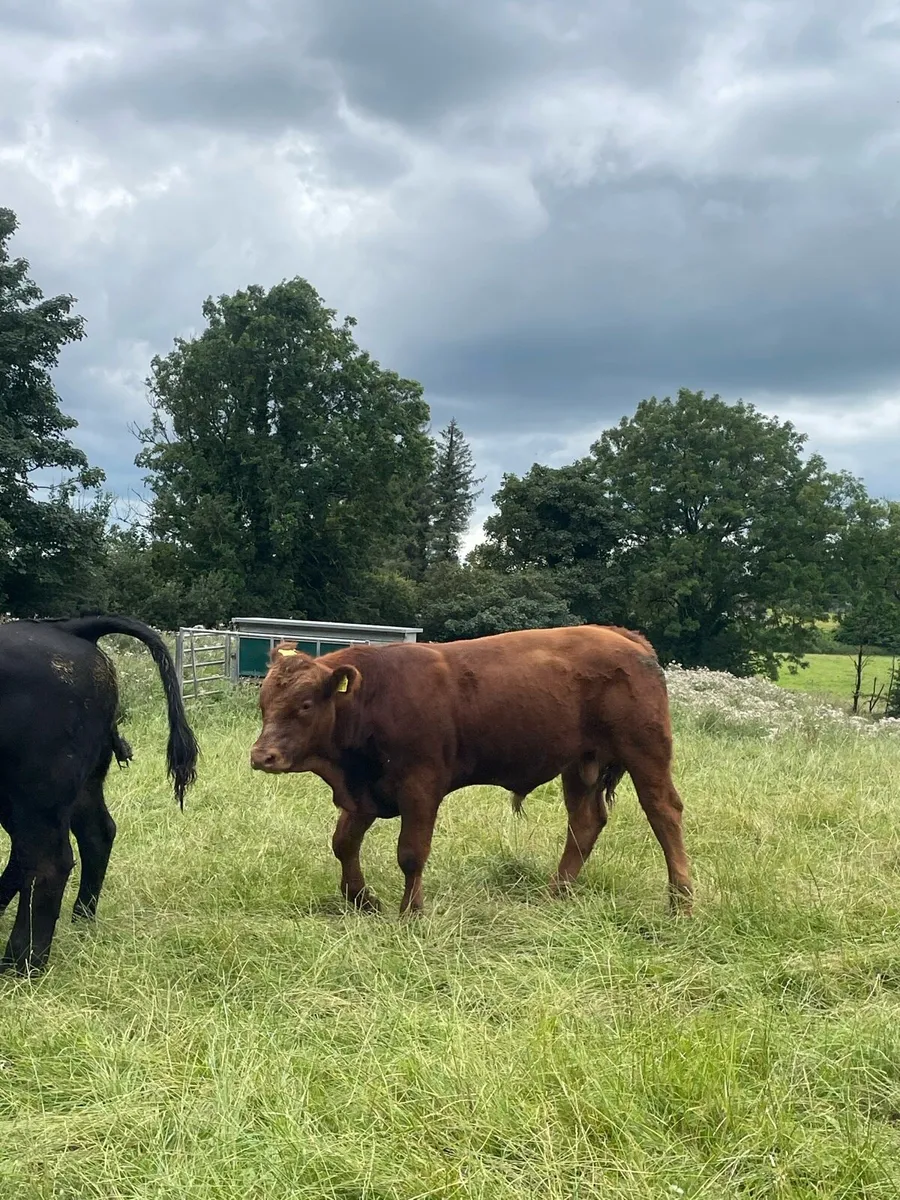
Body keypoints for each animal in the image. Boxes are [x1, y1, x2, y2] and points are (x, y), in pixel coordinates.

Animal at [0, 615, 198, 975]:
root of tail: (69, 628)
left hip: (35, 791)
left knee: (47, 860)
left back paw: (20, 963)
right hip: (79, 786)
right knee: (96, 834)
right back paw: (80, 921)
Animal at [249, 624, 692, 917]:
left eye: (305, 705)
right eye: (263, 702)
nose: (261, 756)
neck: (371, 697)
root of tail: (624, 636)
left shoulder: (420, 786)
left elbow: (411, 853)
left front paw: (410, 912)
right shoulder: (365, 792)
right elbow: (343, 843)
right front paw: (362, 899)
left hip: (645, 750)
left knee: (664, 813)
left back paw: (681, 900)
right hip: (580, 764)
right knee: (584, 824)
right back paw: (558, 891)